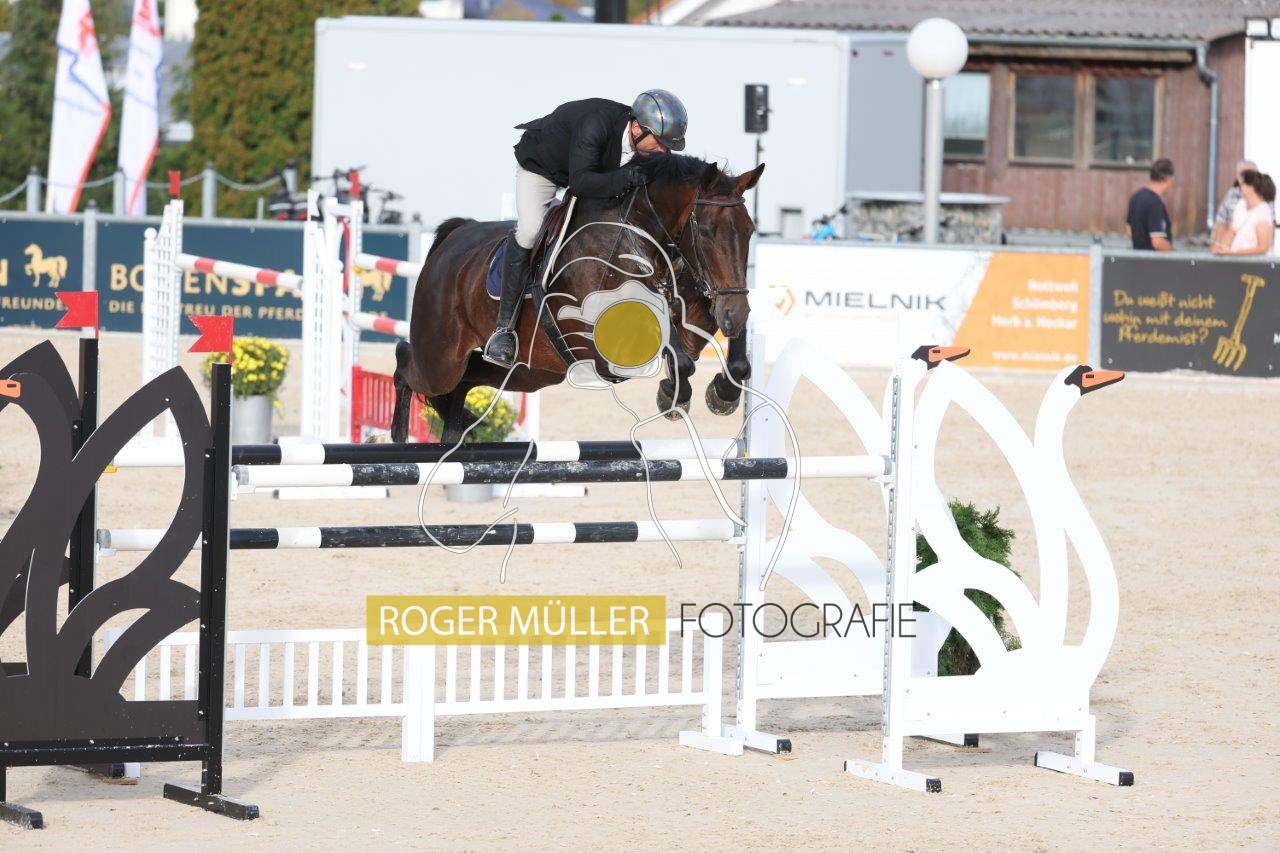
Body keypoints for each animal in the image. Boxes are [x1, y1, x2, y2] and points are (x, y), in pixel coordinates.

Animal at [390, 154, 764, 444]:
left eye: (750, 231)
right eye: (707, 232)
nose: (735, 311)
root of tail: (454, 236)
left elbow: (724, 358)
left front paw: (722, 394)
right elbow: (677, 356)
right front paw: (674, 398)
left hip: (529, 371)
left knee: (462, 383)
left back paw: (455, 432)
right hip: (441, 357)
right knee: (407, 362)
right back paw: (399, 434)